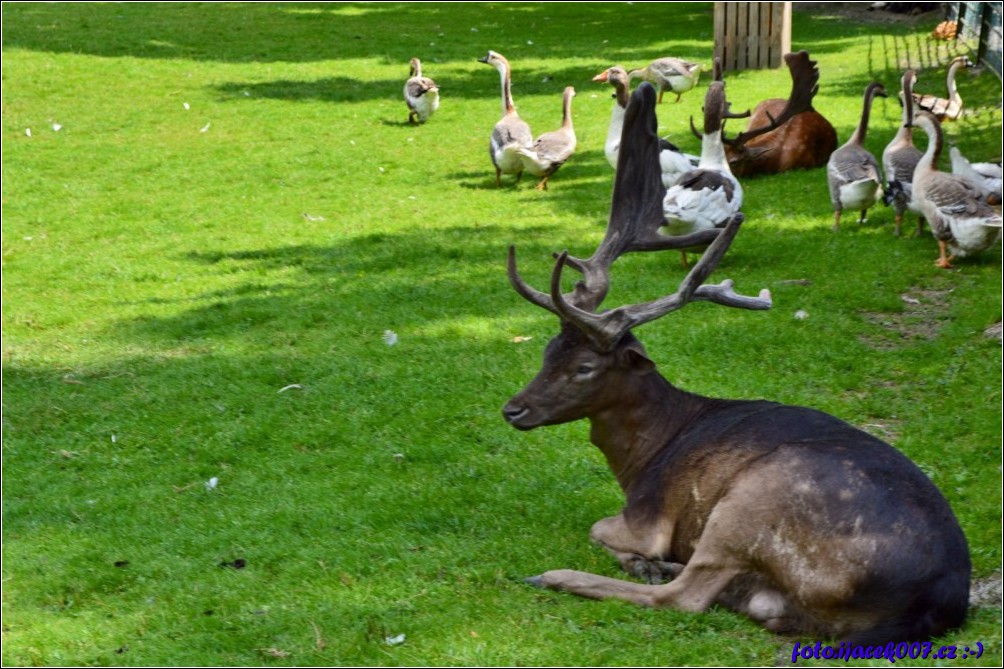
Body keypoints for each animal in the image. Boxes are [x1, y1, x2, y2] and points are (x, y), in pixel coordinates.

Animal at [506, 80, 967, 642]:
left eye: (585, 368)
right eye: (550, 351)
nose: (514, 409)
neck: (641, 456)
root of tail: (932, 604)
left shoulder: (646, 514)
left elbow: (601, 529)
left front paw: (640, 559)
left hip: (749, 502)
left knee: (685, 597)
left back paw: (562, 575)